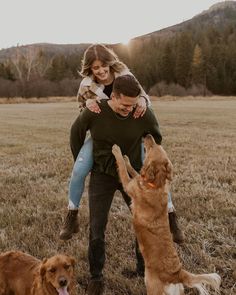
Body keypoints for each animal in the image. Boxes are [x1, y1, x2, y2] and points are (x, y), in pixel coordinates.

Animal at [111, 135, 220, 295]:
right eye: (156, 144)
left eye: (152, 147)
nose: (148, 135)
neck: (156, 184)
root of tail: (178, 273)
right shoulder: (137, 180)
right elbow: (134, 171)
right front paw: (127, 159)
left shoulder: (129, 185)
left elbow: (124, 170)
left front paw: (117, 151)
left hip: (152, 287)